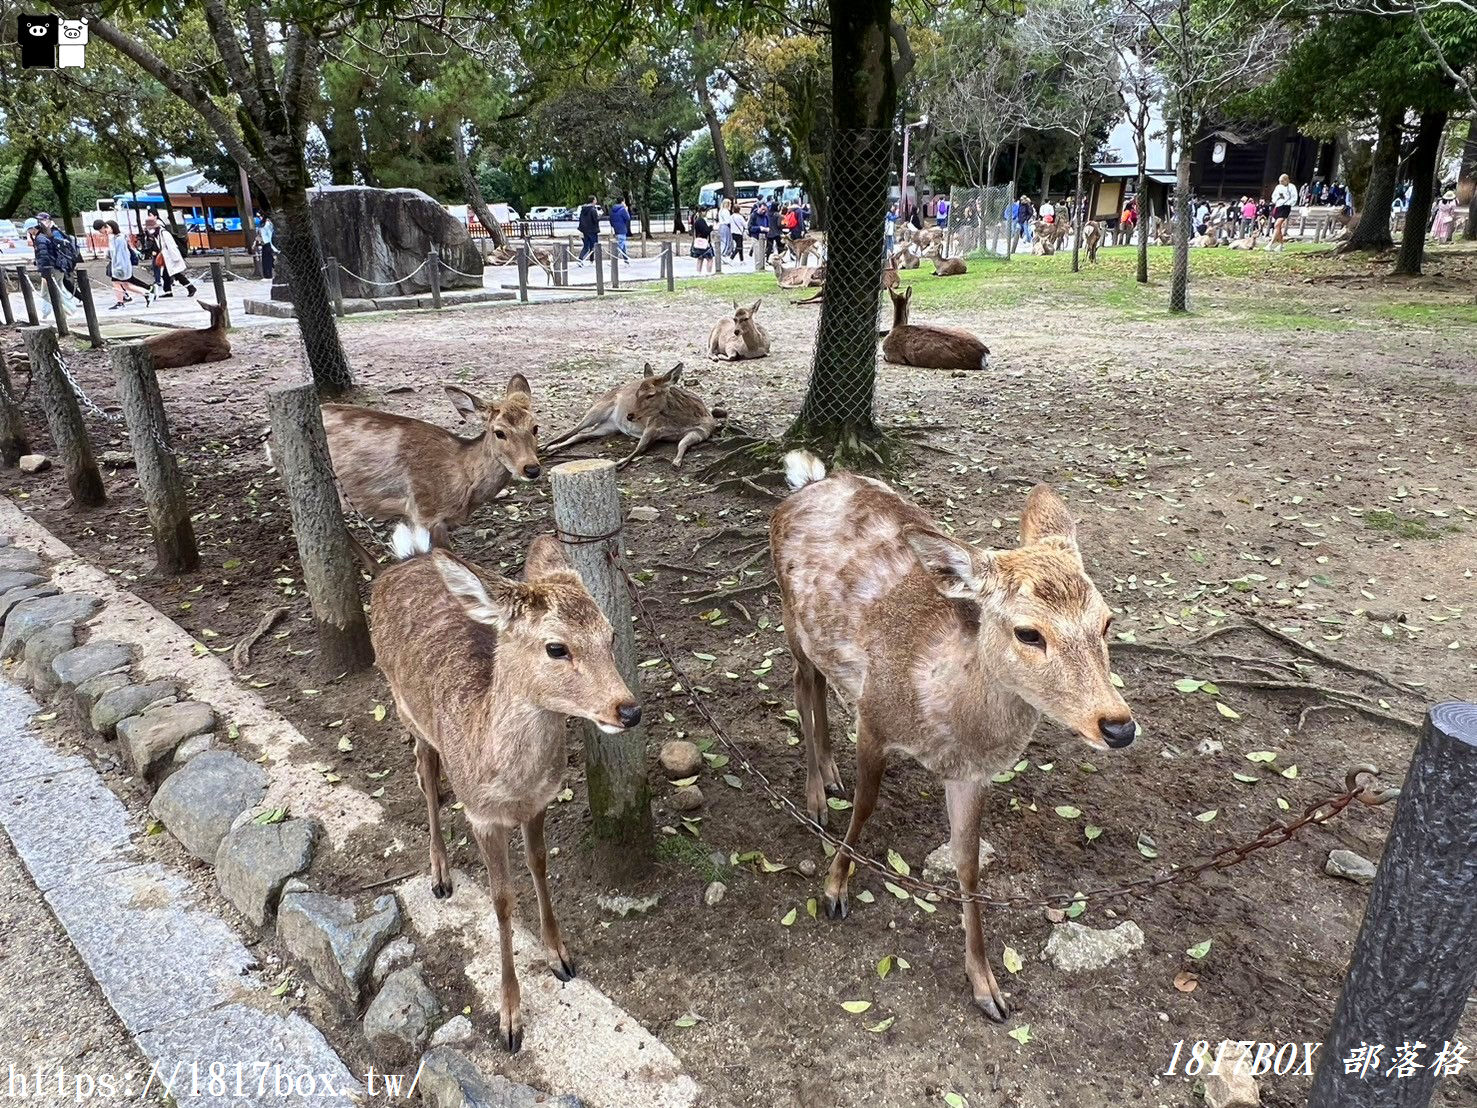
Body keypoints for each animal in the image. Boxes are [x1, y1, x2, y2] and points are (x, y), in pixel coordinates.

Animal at [372, 528, 638, 1057]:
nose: (628, 710)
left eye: (612, 634)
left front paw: (560, 955)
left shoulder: (540, 801)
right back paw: (440, 872)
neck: (510, 782)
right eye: (556, 648)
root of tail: (407, 558)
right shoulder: (482, 815)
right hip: (403, 703)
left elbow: (539, 866)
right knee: (424, 771)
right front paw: (510, 1018)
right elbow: (501, 901)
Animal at [543, 364, 726, 469]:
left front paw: (676, 462)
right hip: (598, 409)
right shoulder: (652, 426)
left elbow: (682, 444)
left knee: (582, 435)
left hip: (609, 427)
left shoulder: (701, 431)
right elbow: (640, 448)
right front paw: (619, 463)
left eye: (651, 395)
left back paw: (552, 450)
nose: (629, 415)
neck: (682, 421)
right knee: (573, 429)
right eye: (637, 393)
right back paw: (545, 447)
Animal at [768, 455, 1134, 1028]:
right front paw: (833, 889)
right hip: (787, 613)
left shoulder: (971, 773)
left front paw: (987, 987)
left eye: (1107, 620)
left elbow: (969, 863)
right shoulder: (874, 718)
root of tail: (807, 480)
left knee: (821, 683)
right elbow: (866, 807)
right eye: (1028, 632)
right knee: (803, 685)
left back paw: (829, 774)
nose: (1118, 725)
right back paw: (815, 795)